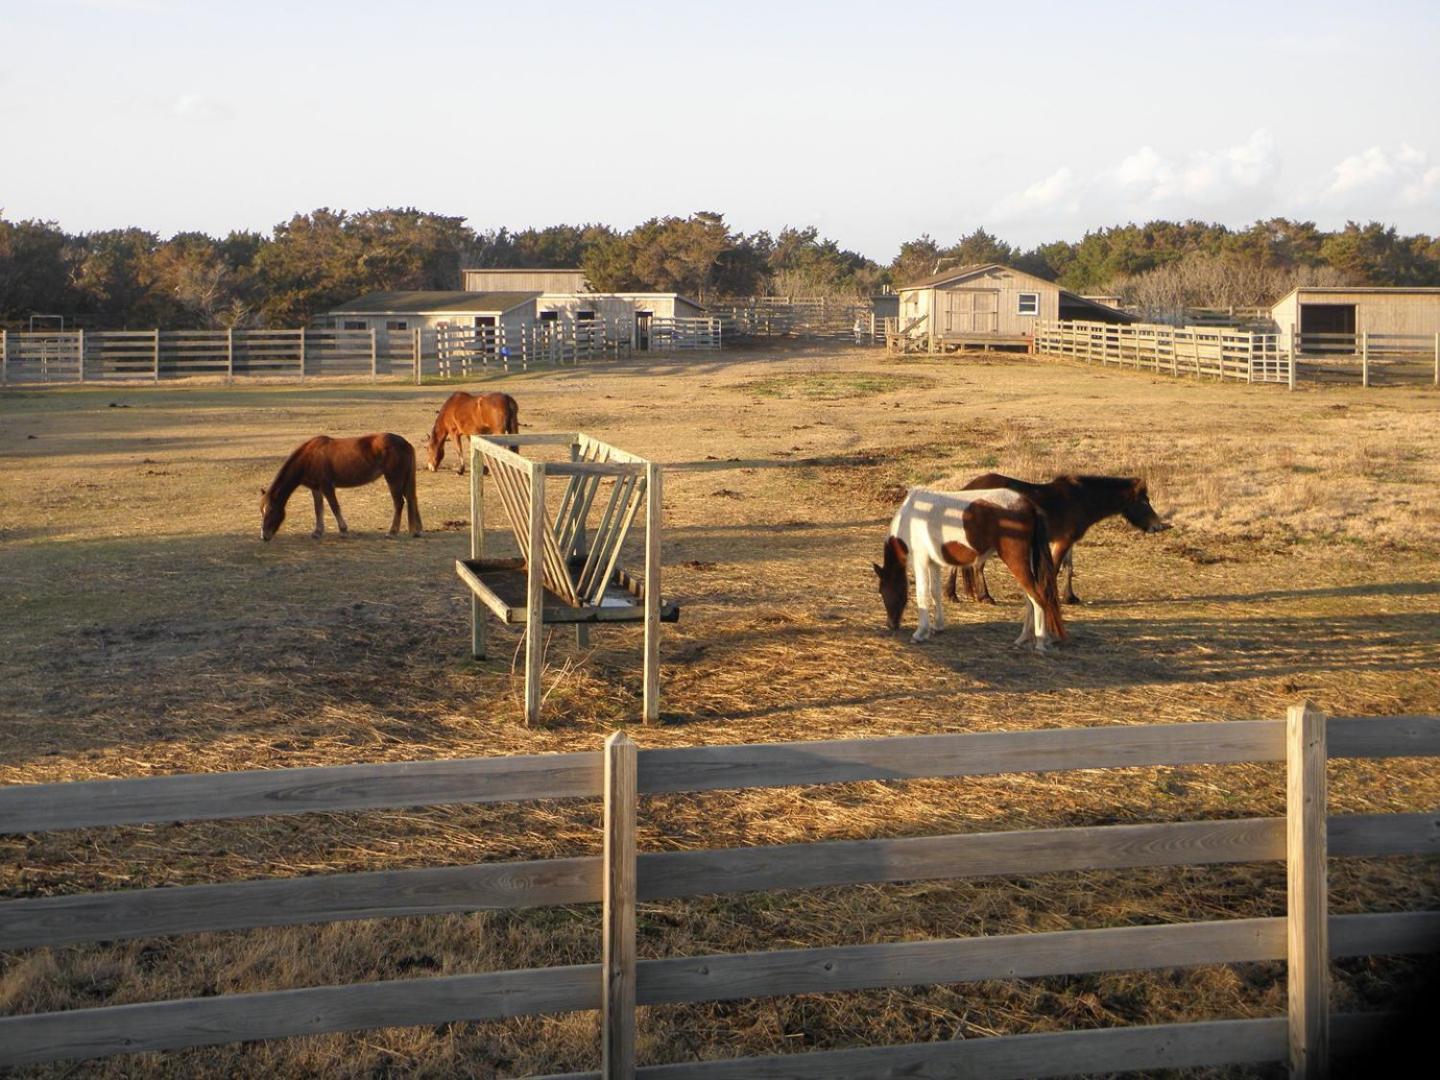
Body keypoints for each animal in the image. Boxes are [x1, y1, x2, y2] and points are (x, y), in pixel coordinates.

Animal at [260, 434, 420, 541]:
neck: (309, 457)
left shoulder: (327, 486)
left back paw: (392, 532)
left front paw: (343, 530)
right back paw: (416, 531)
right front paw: (317, 532)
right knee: (411, 499)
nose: (264, 536)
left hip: (394, 479)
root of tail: (405, 443)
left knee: (399, 503)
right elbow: (318, 509)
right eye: (262, 511)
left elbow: (334, 507)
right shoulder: (316, 488)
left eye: (272, 510)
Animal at [869, 489, 1065, 650]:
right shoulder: (933, 564)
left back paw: (1040, 642)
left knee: (1037, 598)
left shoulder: (921, 562)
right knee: (1029, 600)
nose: (891, 625)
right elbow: (935, 593)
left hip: (1016, 562)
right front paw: (937, 626)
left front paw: (920, 633)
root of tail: (1028, 505)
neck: (910, 518)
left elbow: (922, 595)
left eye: (883, 591)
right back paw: (1022, 638)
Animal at [944, 472, 1169, 610]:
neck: (1081, 499)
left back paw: (952, 594)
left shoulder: (1066, 540)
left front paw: (1070, 597)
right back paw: (984, 596)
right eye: (1144, 501)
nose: (1157, 526)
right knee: (977, 566)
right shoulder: (1063, 541)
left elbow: (1069, 568)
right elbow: (1055, 567)